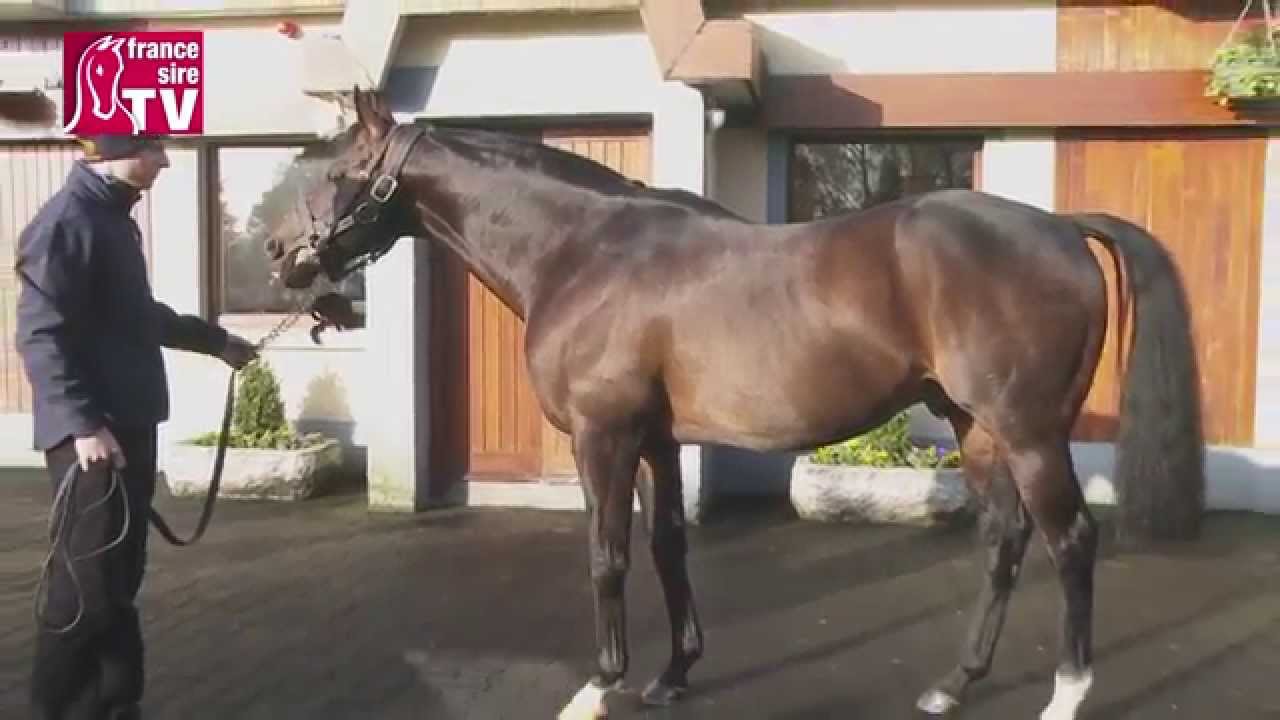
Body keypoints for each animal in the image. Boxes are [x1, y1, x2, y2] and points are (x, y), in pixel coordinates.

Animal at [264, 88, 1205, 720]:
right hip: (976, 428)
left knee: (1070, 542)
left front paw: (599, 687)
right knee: (1005, 541)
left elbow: (608, 556)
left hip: (1030, 432)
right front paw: (672, 674)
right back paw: (951, 685)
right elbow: (669, 547)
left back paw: (1067, 693)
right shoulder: (656, 439)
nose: (277, 252)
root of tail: (1061, 227)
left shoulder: (603, 438)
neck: (584, 251)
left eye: (340, 170)